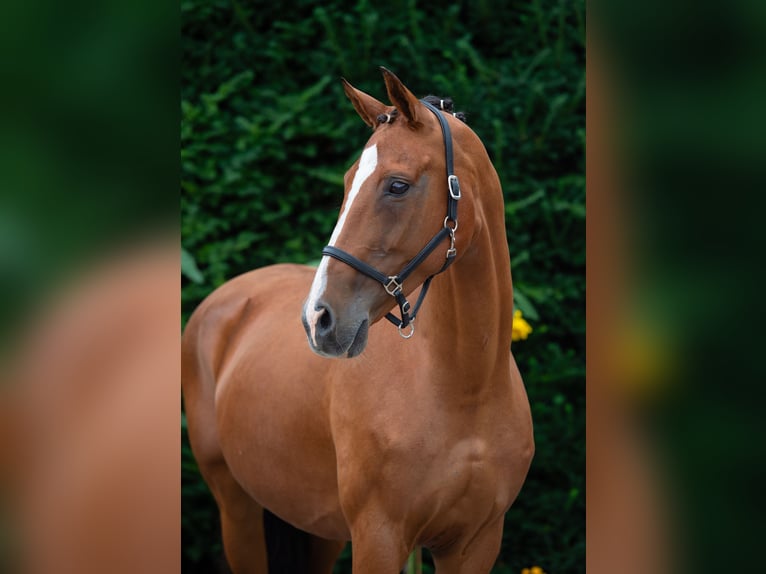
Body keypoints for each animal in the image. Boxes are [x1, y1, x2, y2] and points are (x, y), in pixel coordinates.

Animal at [183, 68, 536, 574]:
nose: (319, 319)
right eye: (349, 181)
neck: (466, 389)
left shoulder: (476, 543)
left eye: (397, 185)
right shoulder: (378, 538)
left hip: (318, 529)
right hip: (237, 509)